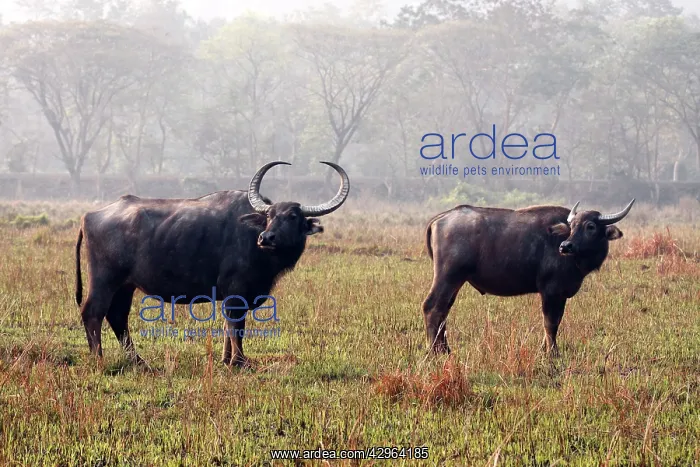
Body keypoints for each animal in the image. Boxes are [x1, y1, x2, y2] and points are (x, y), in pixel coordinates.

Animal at [75, 161, 350, 367]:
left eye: (293, 216)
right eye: (269, 216)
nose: (266, 238)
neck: (251, 238)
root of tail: (90, 216)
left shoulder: (233, 294)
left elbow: (230, 327)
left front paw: (227, 359)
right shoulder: (236, 291)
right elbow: (236, 325)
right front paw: (239, 361)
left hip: (126, 285)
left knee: (117, 316)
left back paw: (139, 361)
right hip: (104, 279)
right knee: (93, 312)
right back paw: (99, 359)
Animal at [421, 199, 635, 355]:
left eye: (590, 226)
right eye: (572, 226)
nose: (565, 246)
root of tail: (442, 217)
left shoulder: (561, 294)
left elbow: (555, 321)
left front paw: (545, 349)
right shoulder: (550, 291)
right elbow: (550, 322)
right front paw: (552, 353)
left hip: (456, 280)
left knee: (443, 310)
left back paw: (446, 350)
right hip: (448, 276)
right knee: (432, 306)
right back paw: (434, 352)